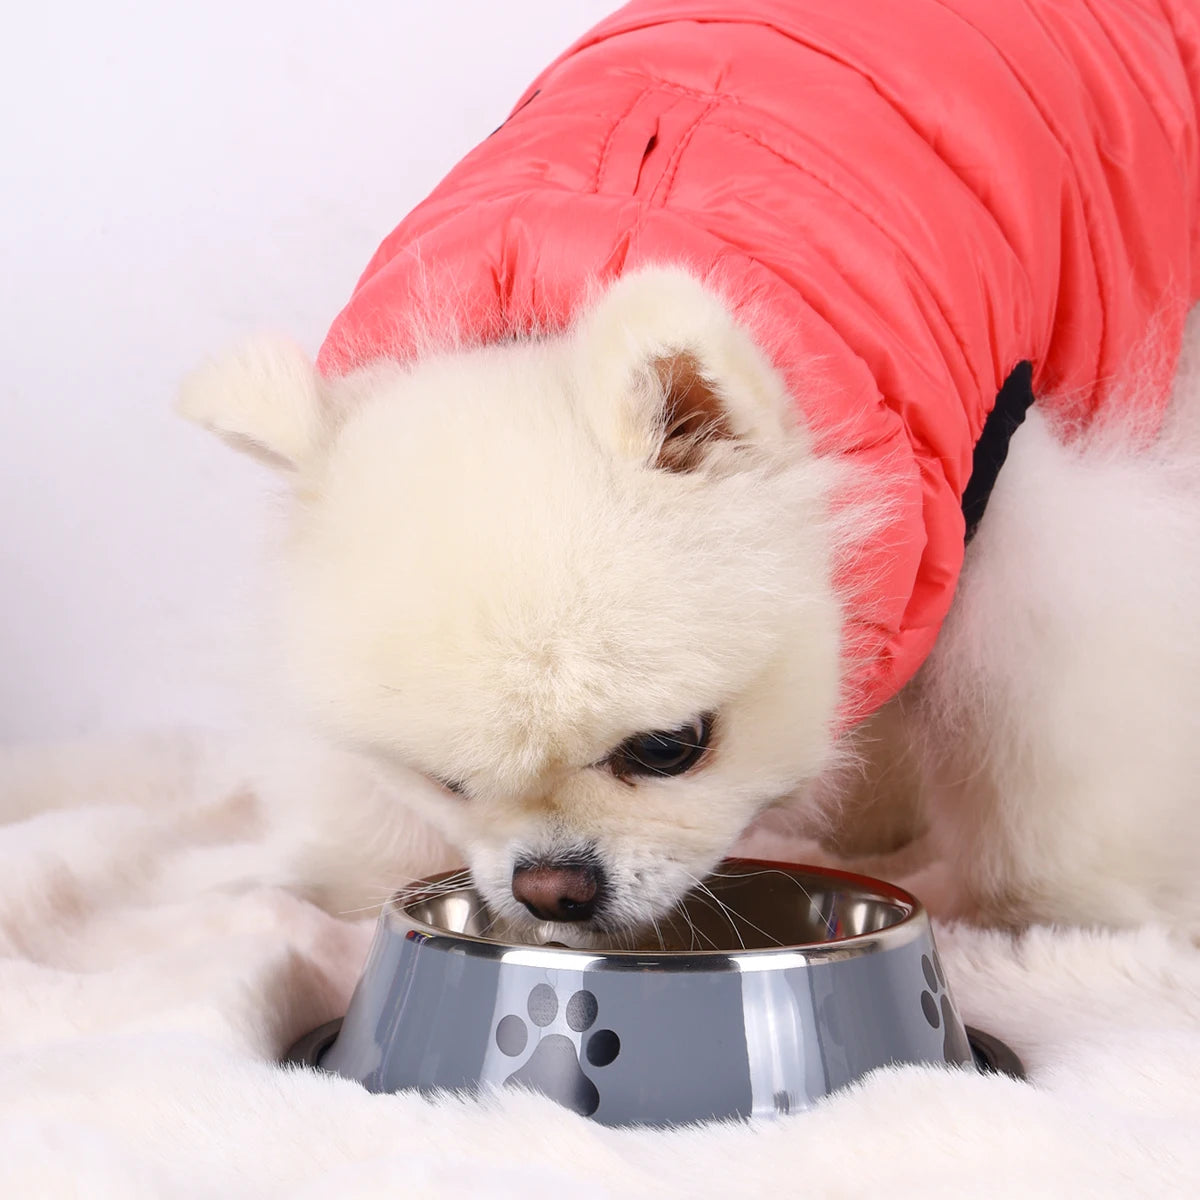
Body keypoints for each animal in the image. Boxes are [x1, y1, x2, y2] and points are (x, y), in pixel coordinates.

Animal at [175, 0, 1200, 940]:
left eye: (670, 747)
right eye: (448, 781)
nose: (553, 886)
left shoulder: (1018, 503)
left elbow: (1056, 722)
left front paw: (1059, 914)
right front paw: (346, 879)